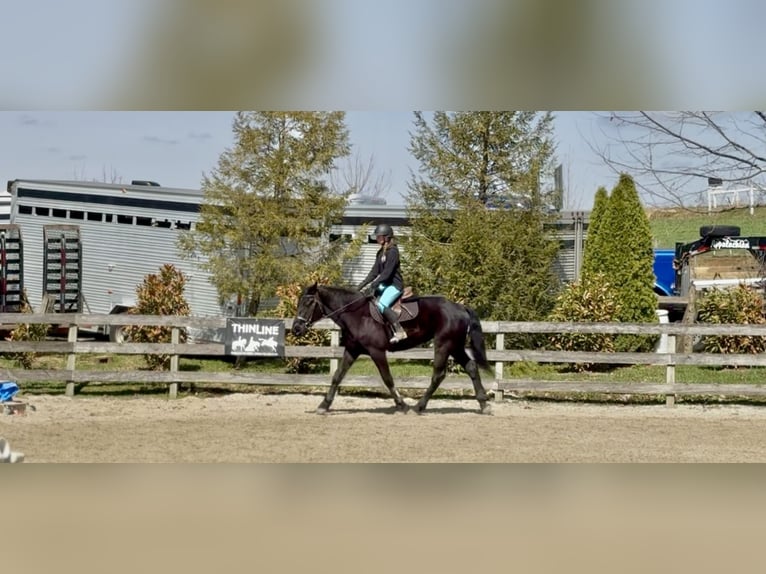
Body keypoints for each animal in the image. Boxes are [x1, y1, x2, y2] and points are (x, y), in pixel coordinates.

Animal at [291, 283, 493, 415]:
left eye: (308, 303)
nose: (296, 329)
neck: (356, 314)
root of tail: (460, 307)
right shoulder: (352, 350)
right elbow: (337, 376)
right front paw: (323, 405)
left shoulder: (376, 351)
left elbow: (387, 379)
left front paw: (401, 405)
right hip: (455, 346)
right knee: (471, 367)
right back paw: (484, 404)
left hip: (444, 344)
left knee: (438, 374)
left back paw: (418, 407)